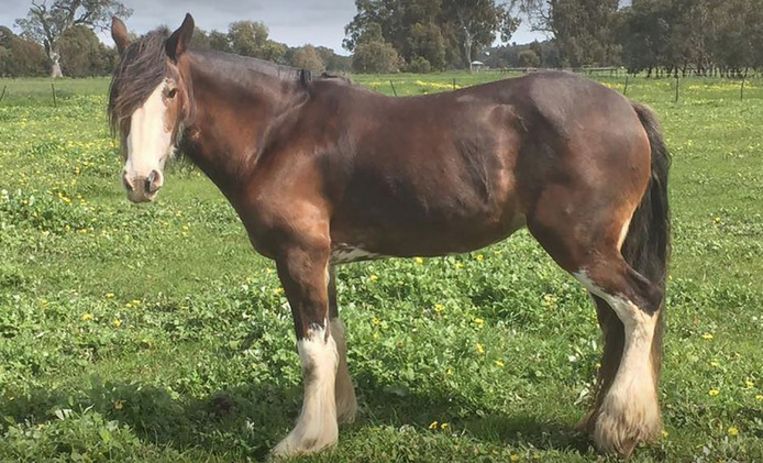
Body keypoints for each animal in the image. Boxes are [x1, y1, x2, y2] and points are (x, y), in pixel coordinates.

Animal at [110, 14, 672, 460]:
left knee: (641, 307)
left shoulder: (298, 257)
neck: (278, 134)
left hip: (581, 248)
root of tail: (627, 108)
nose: (140, 181)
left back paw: (621, 430)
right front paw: (339, 417)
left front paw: (304, 439)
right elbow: (334, 338)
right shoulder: (323, 260)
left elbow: (311, 350)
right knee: (616, 326)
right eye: (118, 97)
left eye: (170, 91)